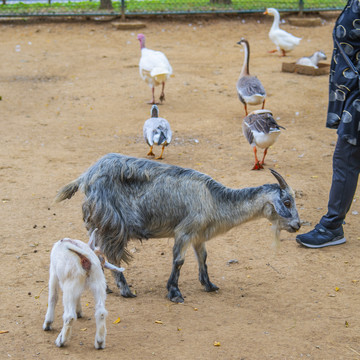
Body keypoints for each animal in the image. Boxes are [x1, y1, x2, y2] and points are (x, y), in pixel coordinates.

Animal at [54, 153, 300, 302]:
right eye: (287, 202)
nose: (297, 225)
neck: (214, 199)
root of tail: (86, 176)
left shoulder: (199, 235)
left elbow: (203, 258)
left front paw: (209, 285)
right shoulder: (184, 232)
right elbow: (179, 261)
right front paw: (174, 292)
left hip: (96, 226)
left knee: (96, 252)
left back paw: (106, 286)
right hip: (112, 224)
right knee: (111, 254)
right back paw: (125, 290)